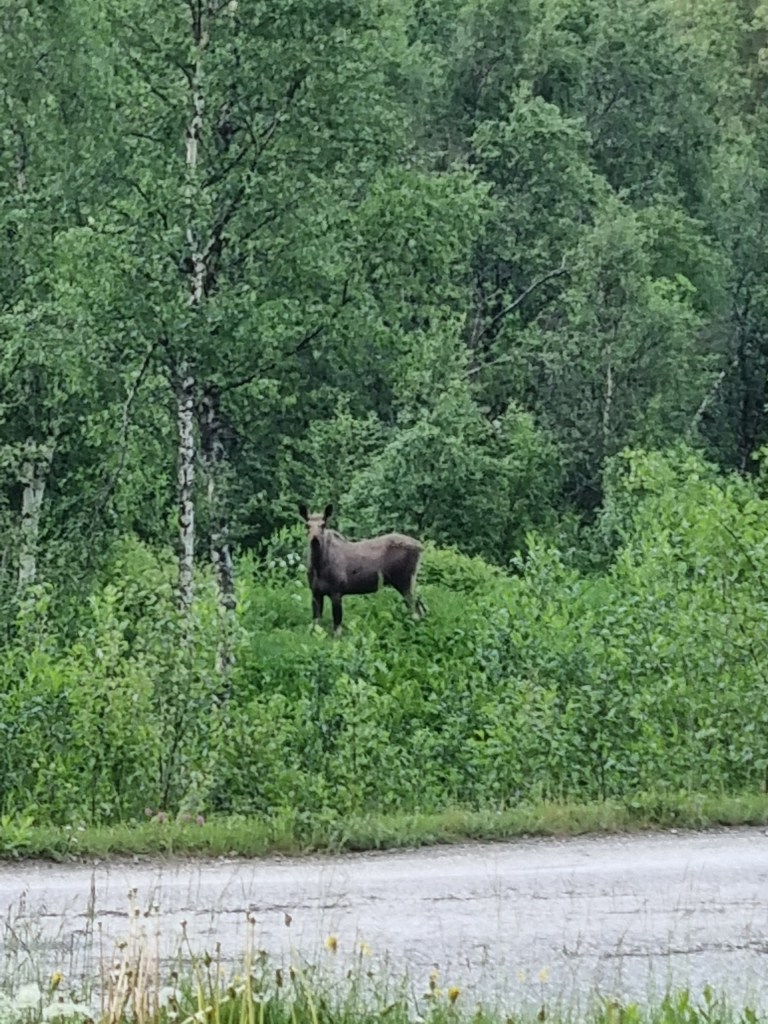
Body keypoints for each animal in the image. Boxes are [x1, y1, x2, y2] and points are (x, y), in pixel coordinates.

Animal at [298, 503, 427, 635]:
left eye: (323, 525)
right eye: (307, 525)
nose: (315, 540)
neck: (318, 567)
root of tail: (420, 546)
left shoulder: (337, 591)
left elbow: (337, 627)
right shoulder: (315, 592)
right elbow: (316, 623)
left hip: (405, 580)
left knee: (417, 608)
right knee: (420, 606)